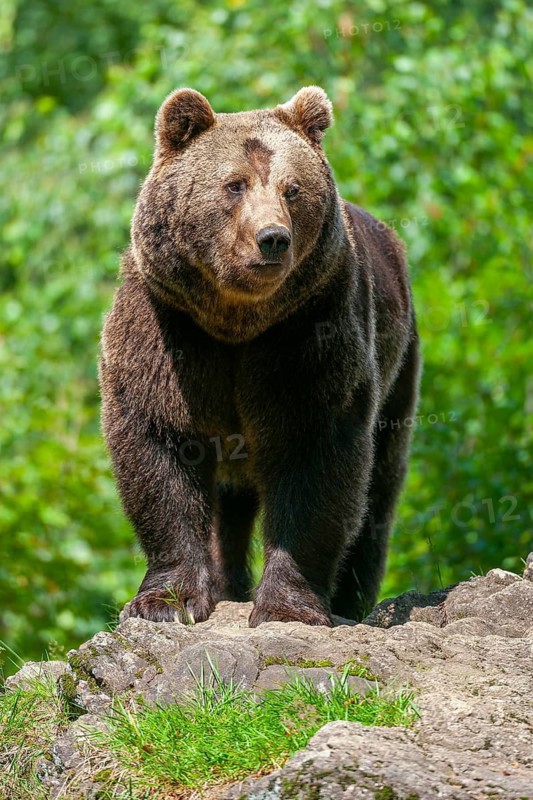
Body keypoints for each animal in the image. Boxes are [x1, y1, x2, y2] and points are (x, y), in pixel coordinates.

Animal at [99, 86, 420, 628]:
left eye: (292, 189)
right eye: (234, 185)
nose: (272, 238)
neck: (236, 320)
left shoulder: (305, 333)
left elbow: (315, 452)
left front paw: (289, 607)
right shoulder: (166, 328)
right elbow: (159, 448)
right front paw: (166, 602)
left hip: (399, 366)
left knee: (377, 491)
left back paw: (353, 600)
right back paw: (226, 584)